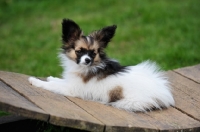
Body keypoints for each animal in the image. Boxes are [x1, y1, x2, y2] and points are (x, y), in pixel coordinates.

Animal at [28, 18, 175, 111]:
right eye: (79, 51)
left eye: (93, 53)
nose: (87, 60)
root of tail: (164, 94)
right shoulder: (72, 82)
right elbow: (58, 81)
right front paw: (51, 77)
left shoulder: (72, 89)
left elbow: (53, 85)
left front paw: (35, 81)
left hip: (129, 102)